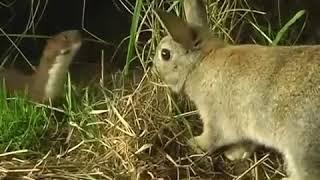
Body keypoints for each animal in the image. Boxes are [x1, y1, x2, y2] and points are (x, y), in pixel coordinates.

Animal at [152, 0, 320, 179]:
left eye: (165, 54)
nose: (154, 70)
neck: (200, 62)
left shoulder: (215, 118)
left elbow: (212, 139)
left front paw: (193, 143)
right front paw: (235, 154)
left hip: (302, 148)